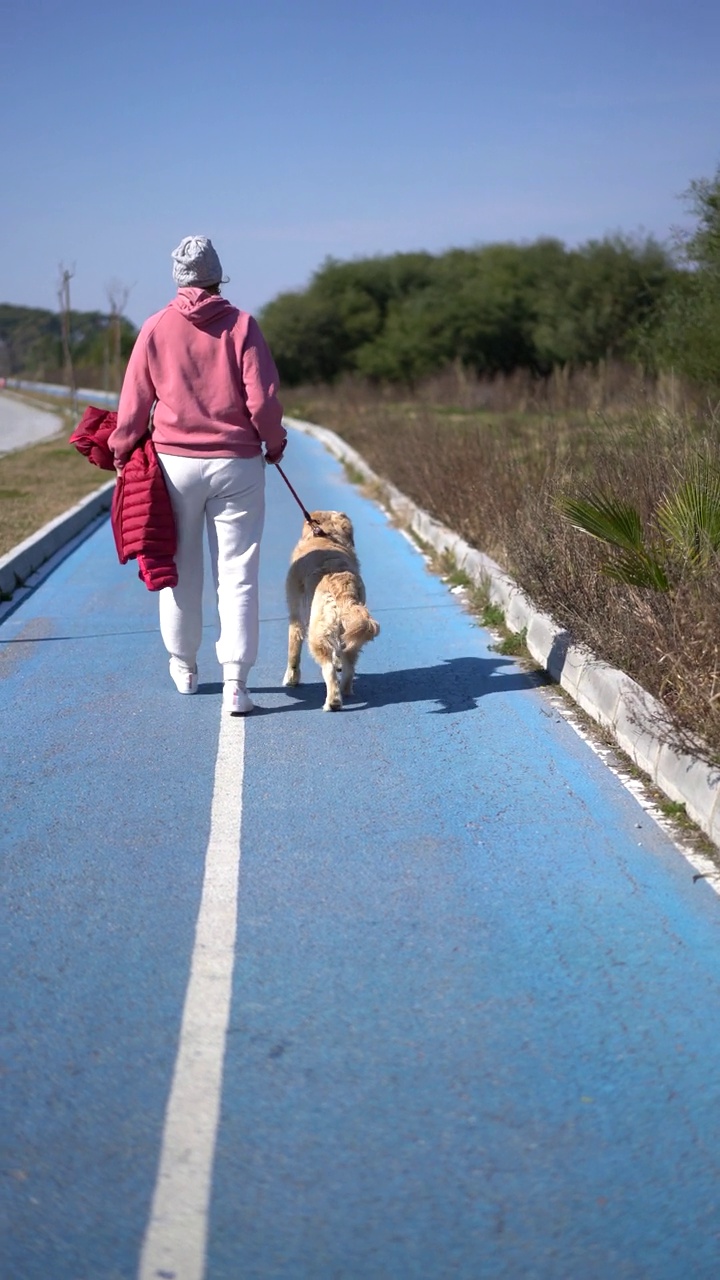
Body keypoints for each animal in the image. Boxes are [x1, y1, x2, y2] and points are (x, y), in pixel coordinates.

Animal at [281, 509, 379, 711]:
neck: (326, 535)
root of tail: (344, 590)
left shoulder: (296, 617)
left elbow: (293, 652)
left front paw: (291, 679)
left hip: (316, 633)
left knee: (328, 669)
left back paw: (333, 701)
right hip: (350, 632)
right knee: (349, 666)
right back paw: (345, 691)